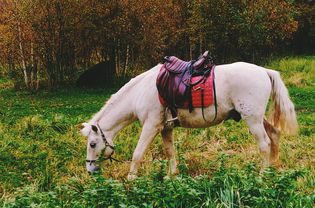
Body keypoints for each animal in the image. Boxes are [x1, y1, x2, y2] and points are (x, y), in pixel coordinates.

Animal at [81, 61, 298, 179]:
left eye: (92, 143)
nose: (90, 169)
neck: (139, 92)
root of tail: (264, 71)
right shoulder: (165, 128)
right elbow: (170, 152)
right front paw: (172, 176)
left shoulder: (151, 126)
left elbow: (137, 153)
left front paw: (131, 179)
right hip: (257, 119)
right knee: (274, 135)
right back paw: (271, 169)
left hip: (252, 120)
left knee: (264, 144)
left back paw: (261, 176)